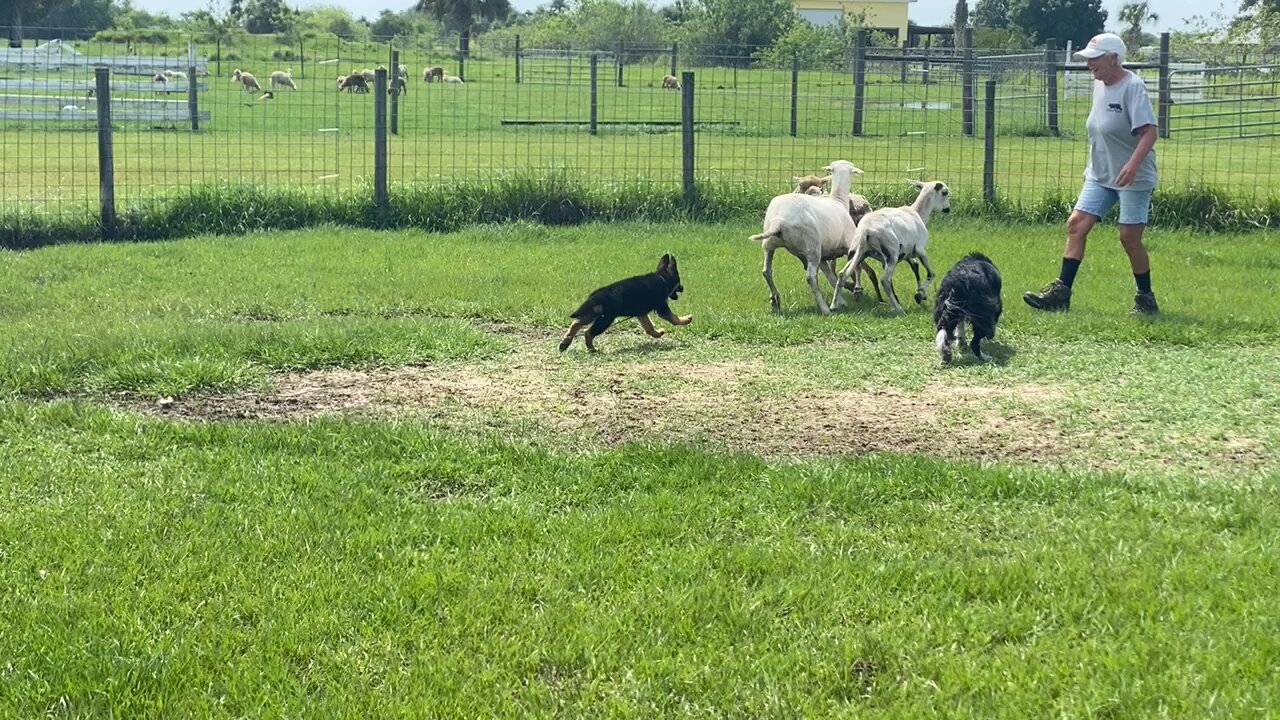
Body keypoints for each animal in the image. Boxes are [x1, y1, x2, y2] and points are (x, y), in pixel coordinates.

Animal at [558, 253, 691, 351]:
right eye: (679, 282)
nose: (683, 288)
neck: (662, 278)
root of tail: (595, 297)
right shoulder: (662, 307)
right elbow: (673, 318)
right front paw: (686, 319)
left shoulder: (641, 313)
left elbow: (649, 327)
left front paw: (657, 333)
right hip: (606, 319)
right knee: (588, 332)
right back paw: (591, 348)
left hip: (592, 313)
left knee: (576, 323)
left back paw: (565, 342)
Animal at [747, 161, 880, 312]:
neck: (838, 200)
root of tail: (779, 221)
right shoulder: (848, 246)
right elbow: (851, 269)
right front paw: (850, 293)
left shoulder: (824, 257)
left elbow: (831, 277)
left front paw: (841, 300)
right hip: (812, 247)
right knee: (810, 277)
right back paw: (825, 308)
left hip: (769, 245)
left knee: (766, 271)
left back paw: (775, 299)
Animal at [829, 178, 952, 312]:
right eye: (945, 192)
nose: (948, 209)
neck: (917, 212)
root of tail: (865, 231)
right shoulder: (920, 250)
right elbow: (931, 272)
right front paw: (919, 294)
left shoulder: (902, 256)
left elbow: (915, 267)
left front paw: (920, 294)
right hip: (891, 253)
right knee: (885, 280)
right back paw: (899, 309)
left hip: (857, 252)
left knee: (843, 274)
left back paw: (834, 306)